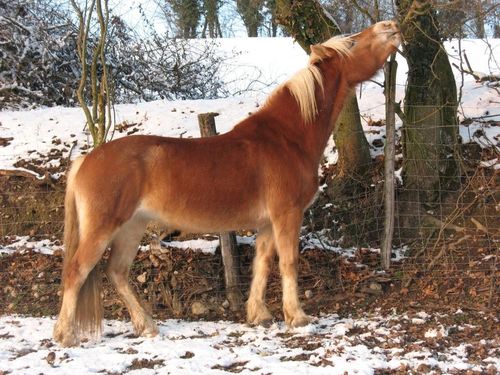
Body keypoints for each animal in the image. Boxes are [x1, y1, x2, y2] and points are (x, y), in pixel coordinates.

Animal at [52, 20, 400, 346]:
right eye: (352, 42)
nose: (391, 27)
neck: (286, 138)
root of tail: (86, 160)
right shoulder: (287, 215)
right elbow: (288, 262)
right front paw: (298, 317)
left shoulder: (267, 223)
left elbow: (262, 264)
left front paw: (259, 315)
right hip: (104, 227)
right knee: (76, 271)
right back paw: (65, 335)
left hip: (131, 227)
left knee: (117, 272)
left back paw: (147, 326)